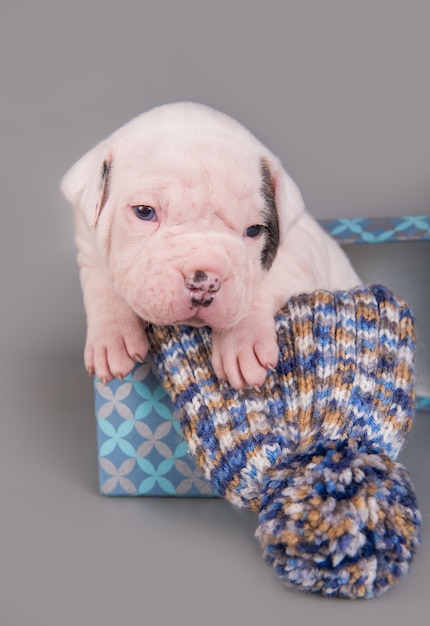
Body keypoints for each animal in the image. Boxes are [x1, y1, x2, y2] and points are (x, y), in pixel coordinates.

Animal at [62, 102, 362, 386]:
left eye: (253, 230)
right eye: (144, 212)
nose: (206, 281)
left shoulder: (302, 250)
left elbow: (260, 284)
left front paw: (242, 339)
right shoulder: (86, 244)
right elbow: (100, 284)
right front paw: (111, 337)